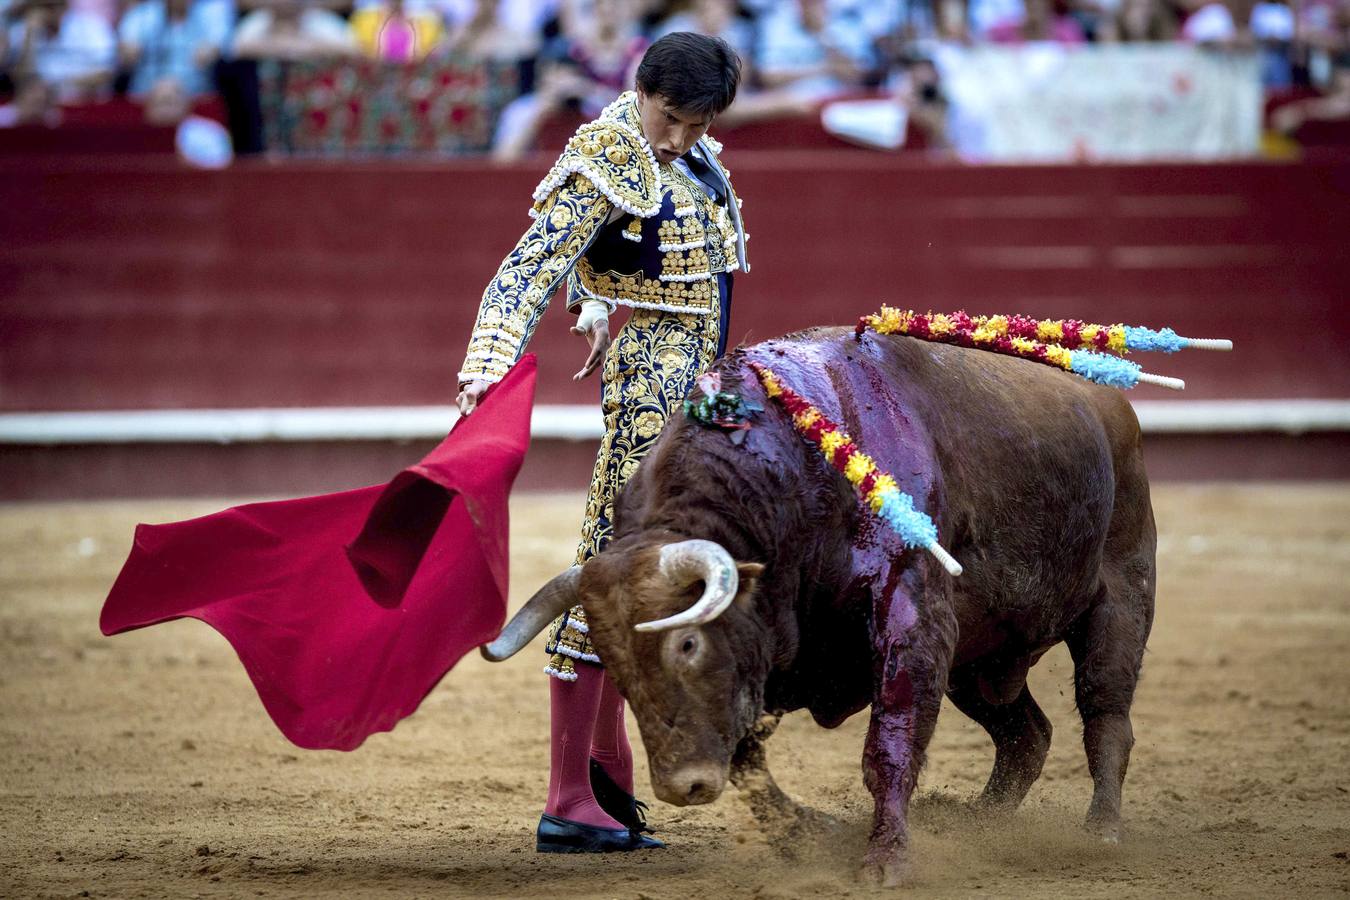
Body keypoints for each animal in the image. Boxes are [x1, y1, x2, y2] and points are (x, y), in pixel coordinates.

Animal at [480, 325, 1155, 885]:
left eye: (688, 641)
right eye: (617, 669)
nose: (683, 784)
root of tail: (1110, 402)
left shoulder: (915, 619)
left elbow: (888, 745)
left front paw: (885, 862)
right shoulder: (765, 661)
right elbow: (748, 761)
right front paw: (811, 836)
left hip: (1120, 599)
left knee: (1106, 716)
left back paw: (1101, 831)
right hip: (982, 659)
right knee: (1026, 735)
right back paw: (976, 823)